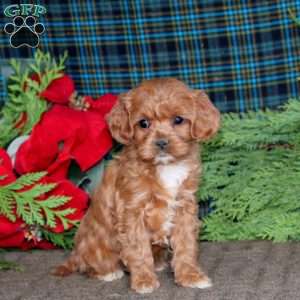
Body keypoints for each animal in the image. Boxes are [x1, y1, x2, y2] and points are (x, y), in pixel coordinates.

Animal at [52, 78, 219, 294]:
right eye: (143, 123)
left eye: (178, 120)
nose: (161, 142)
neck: (164, 166)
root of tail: (76, 253)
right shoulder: (132, 211)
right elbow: (138, 249)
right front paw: (144, 280)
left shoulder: (185, 207)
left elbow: (186, 244)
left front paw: (190, 276)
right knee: (90, 265)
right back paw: (108, 272)